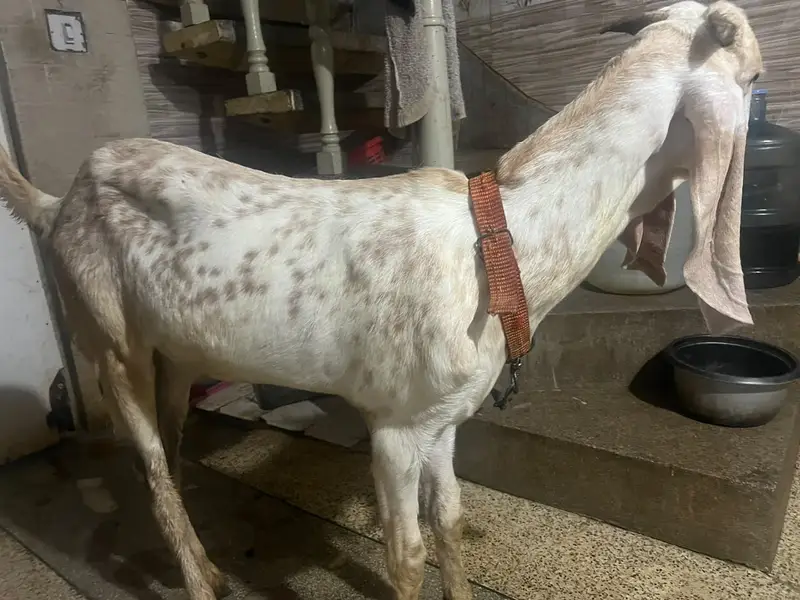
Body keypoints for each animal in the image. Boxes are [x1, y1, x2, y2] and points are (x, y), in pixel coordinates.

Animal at [0, 2, 760, 599]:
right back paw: (201, 581)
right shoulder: (394, 424)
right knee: (150, 467)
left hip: (176, 354)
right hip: (106, 335)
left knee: (172, 453)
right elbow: (406, 557)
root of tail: (57, 203)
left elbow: (450, 523)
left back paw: (203, 560)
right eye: (753, 77)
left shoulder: (442, 418)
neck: (498, 246)